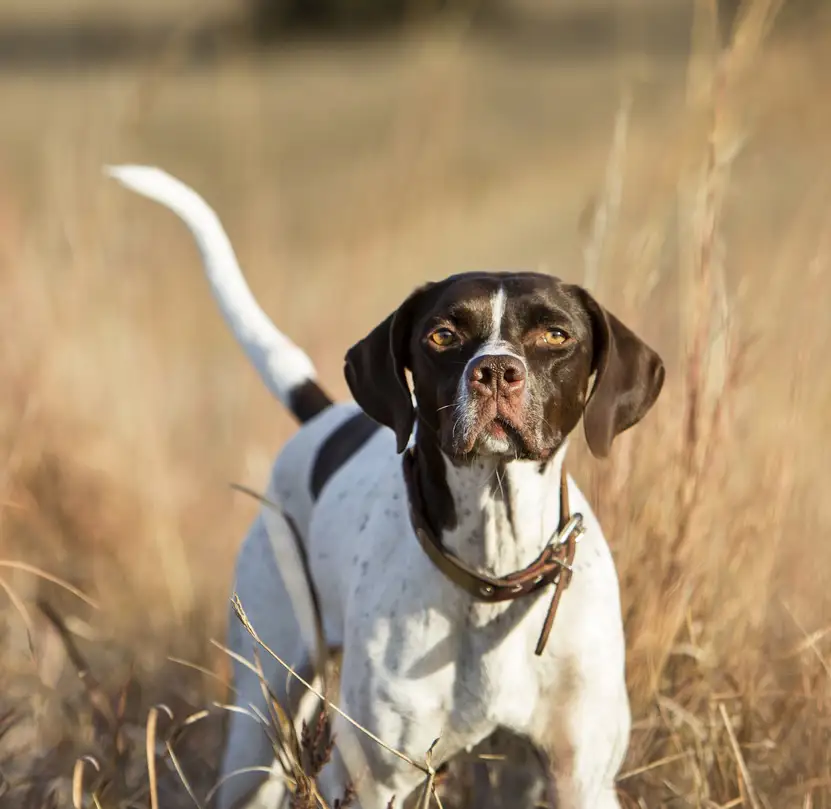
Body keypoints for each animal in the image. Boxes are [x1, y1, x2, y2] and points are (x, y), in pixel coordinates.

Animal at [107, 166, 668, 808]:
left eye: (556, 335)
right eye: (443, 335)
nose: (497, 371)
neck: (493, 573)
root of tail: (323, 419)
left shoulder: (582, 779)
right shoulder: (377, 782)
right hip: (260, 719)